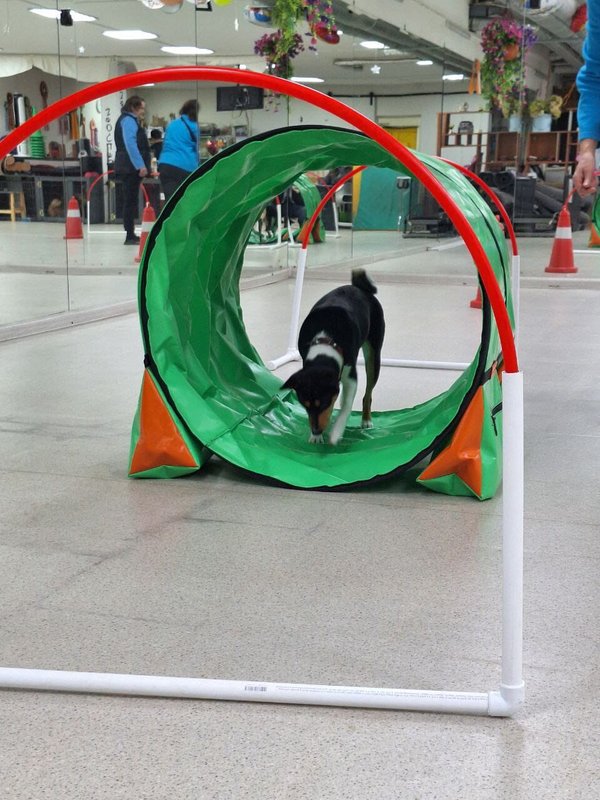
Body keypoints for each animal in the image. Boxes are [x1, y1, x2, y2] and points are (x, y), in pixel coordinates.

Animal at [282, 269, 385, 445]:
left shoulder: (350, 377)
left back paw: (366, 420)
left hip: (374, 356)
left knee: (368, 393)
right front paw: (316, 437)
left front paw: (336, 432)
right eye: (305, 405)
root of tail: (359, 288)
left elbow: (346, 406)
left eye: (324, 403)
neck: (325, 340)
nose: (316, 430)